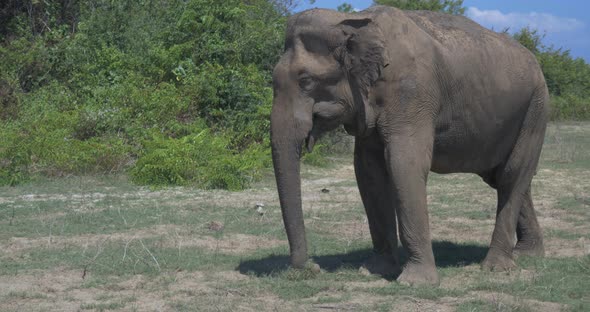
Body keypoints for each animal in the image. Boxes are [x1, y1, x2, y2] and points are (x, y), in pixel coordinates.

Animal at [272, 6, 552, 286]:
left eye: (306, 80)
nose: (312, 268)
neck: (353, 20)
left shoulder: (412, 94)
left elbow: (404, 164)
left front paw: (415, 282)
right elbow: (368, 171)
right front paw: (375, 270)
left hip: (536, 110)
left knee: (513, 174)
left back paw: (497, 267)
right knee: (504, 177)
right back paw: (528, 254)